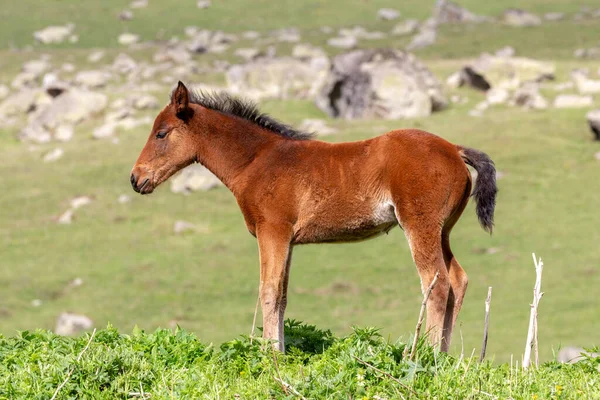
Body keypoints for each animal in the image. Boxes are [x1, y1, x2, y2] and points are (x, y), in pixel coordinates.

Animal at [132, 83, 496, 352]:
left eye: (161, 133)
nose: (136, 179)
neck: (257, 161)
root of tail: (454, 149)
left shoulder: (272, 231)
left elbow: (267, 291)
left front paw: (270, 359)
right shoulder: (288, 240)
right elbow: (281, 296)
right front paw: (279, 352)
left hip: (419, 226)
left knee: (437, 284)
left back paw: (425, 358)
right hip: (441, 231)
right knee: (458, 280)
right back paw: (444, 358)